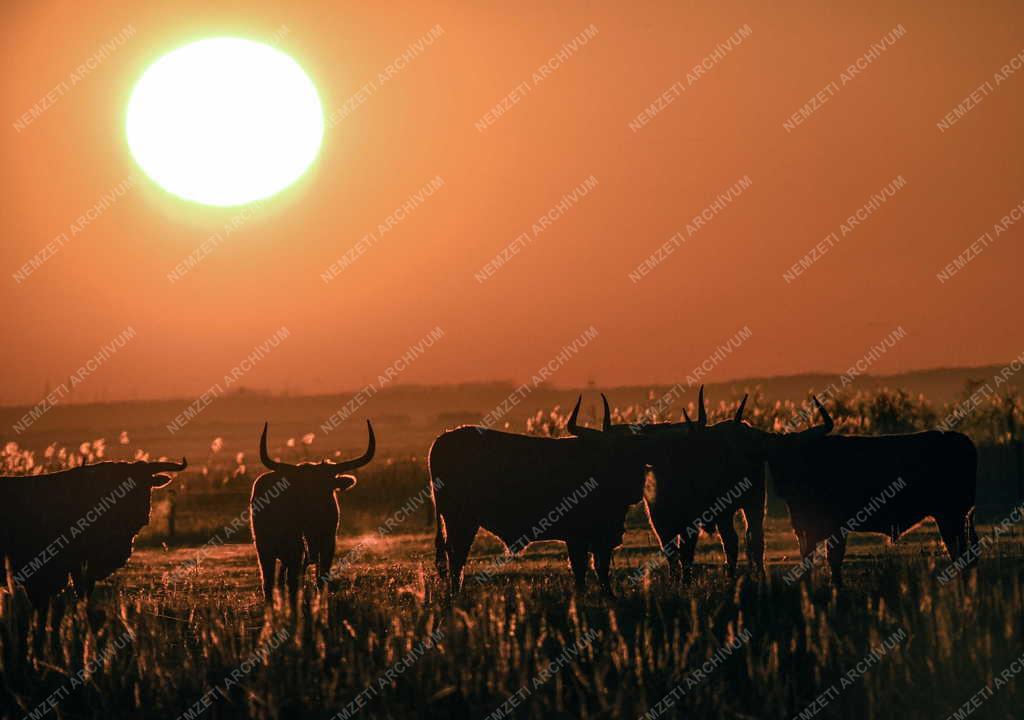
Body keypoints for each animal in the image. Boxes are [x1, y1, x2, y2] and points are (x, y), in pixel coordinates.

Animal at [251, 421, 376, 602]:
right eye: (302, 489)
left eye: (327, 487)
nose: (316, 509)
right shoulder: (296, 549)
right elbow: (294, 582)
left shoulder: (328, 545)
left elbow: (321, 579)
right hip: (264, 548)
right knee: (269, 581)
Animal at [720, 397, 974, 589]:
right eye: (771, 457)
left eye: (795, 453)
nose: (783, 483)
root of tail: (961, 439)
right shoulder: (803, 528)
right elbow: (807, 557)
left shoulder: (836, 528)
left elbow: (834, 558)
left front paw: (837, 585)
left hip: (951, 515)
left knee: (959, 550)